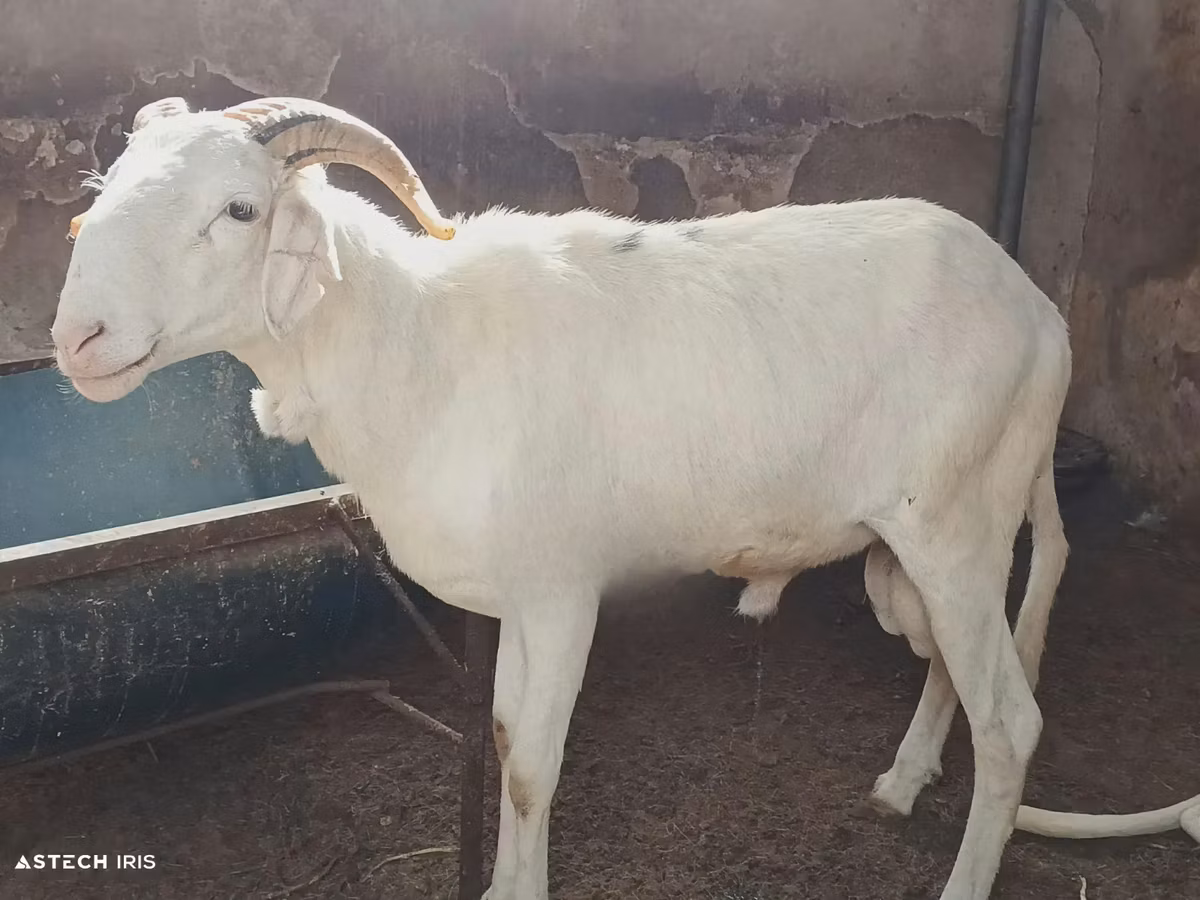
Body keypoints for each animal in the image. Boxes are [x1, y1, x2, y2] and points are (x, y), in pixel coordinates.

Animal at [51, 95, 1073, 900]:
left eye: (240, 208)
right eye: (108, 190)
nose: (78, 338)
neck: (419, 347)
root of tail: (1041, 312)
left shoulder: (560, 593)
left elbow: (535, 771)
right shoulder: (514, 602)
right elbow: (506, 748)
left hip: (957, 527)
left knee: (1013, 724)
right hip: (917, 556)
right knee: (953, 674)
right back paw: (902, 781)